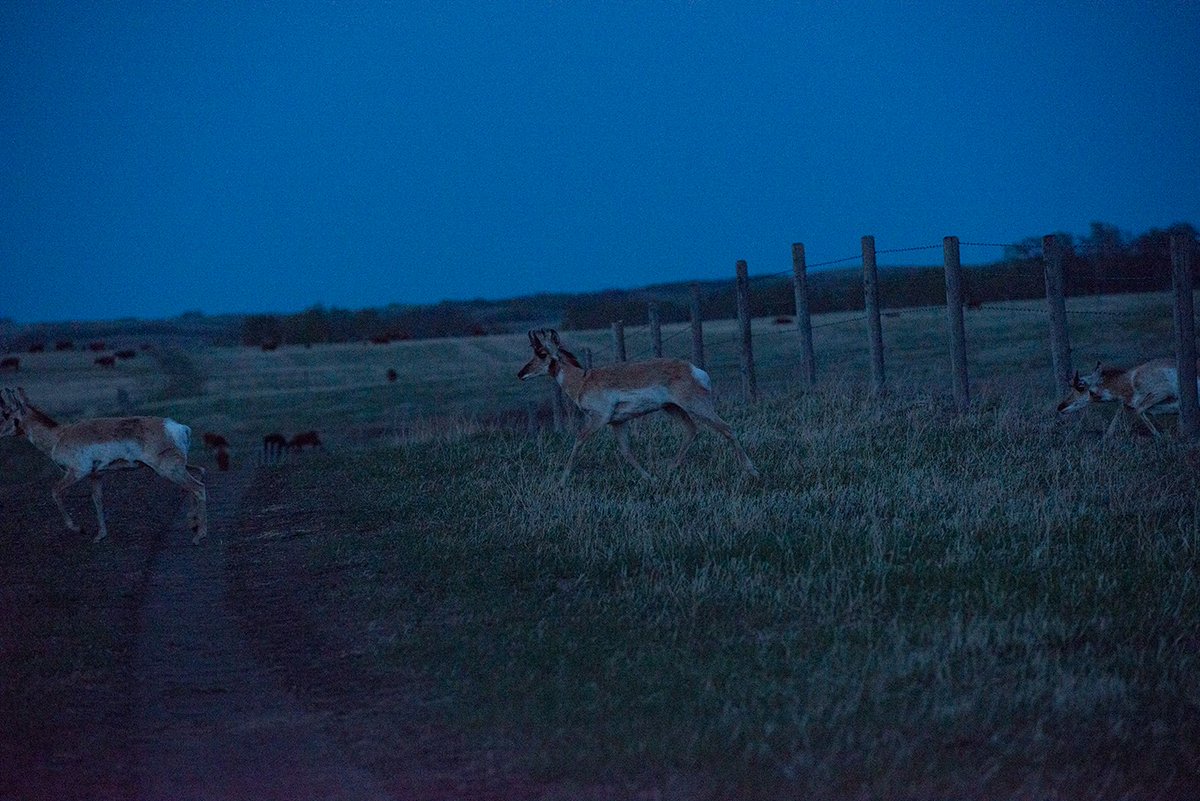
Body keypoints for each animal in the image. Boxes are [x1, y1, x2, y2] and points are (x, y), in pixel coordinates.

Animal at [0, 387, 207, 544]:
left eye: (6, 414)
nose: (0, 432)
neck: (59, 436)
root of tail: (179, 427)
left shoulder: (77, 472)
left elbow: (55, 491)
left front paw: (79, 528)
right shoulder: (96, 475)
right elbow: (97, 500)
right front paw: (100, 535)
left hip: (169, 470)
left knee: (198, 487)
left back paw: (199, 535)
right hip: (176, 467)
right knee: (200, 473)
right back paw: (192, 522)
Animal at [517, 329, 759, 485]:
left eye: (542, 353)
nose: (520, 374)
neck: (583, 380)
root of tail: (693, 369)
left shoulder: (598, 419)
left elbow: (578, 441)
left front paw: (561, 480)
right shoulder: (618, 423)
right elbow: (626, 451)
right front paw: (649, 477)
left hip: (696, 407)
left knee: (726, 428)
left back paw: (751, 471)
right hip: (673, 408)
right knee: (691, 430)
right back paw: (669, 470)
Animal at [1057, 358, 1200, 437]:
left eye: (1080, 386)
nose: (1060, 407)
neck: (1129, 381)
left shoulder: (1162, 391)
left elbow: (1138, 409)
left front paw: (1159, 435)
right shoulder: (1128, 404)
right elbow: (1119, 414)